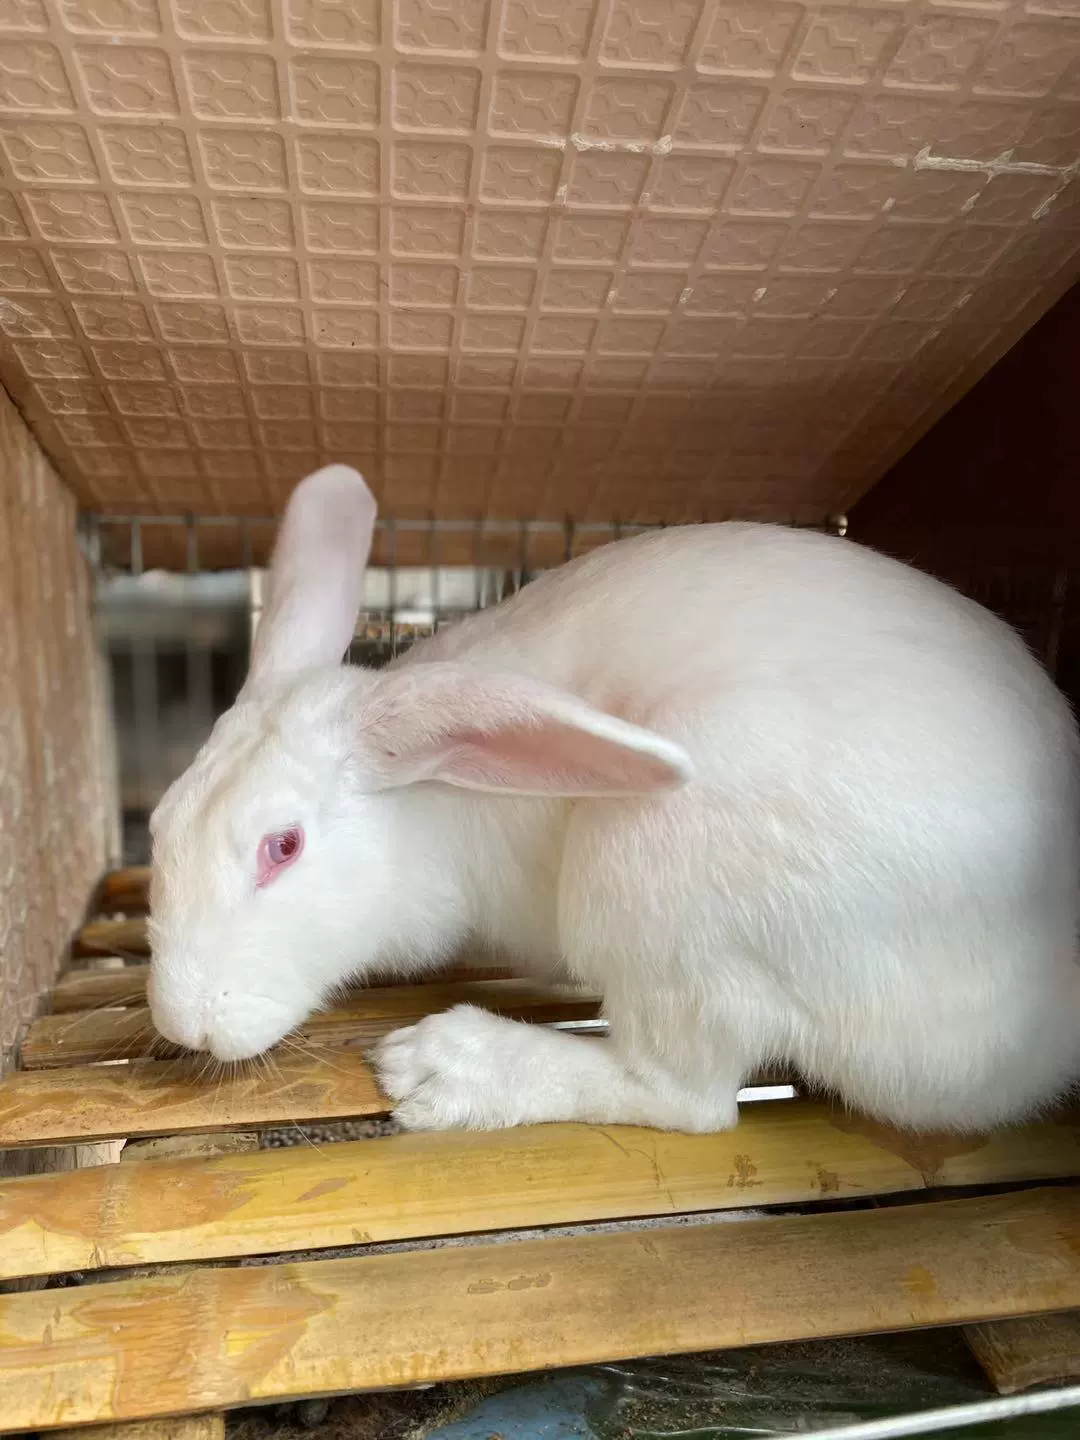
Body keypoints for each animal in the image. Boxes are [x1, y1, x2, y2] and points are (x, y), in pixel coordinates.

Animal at [147, 463, 1080, 1135]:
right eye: (157, 827)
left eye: (283, 846)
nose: (183, 1020)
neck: (433, 797)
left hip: (655, 877)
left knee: (686, 1095)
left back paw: (449, 1067)